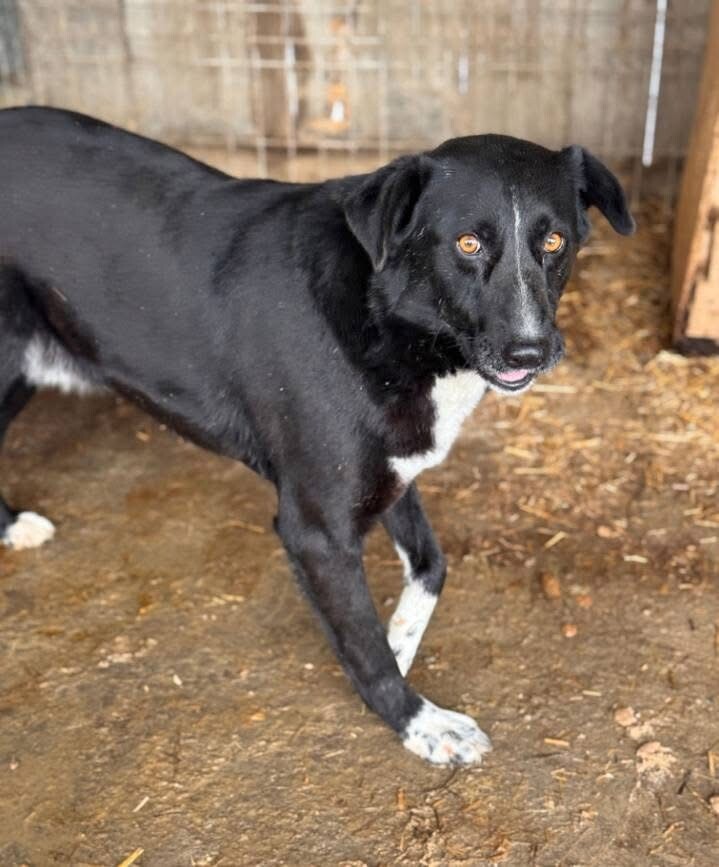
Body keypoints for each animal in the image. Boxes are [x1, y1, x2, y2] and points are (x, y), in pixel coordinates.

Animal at [0, 107, 634, 765]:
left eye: (554, 241)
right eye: (468, 242)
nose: (529, 351)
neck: (389, 320)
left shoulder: (394, 467)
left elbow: (431, 566)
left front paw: (400, 639)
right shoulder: (316, 529)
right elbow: (364, 641)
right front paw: (417, 720)